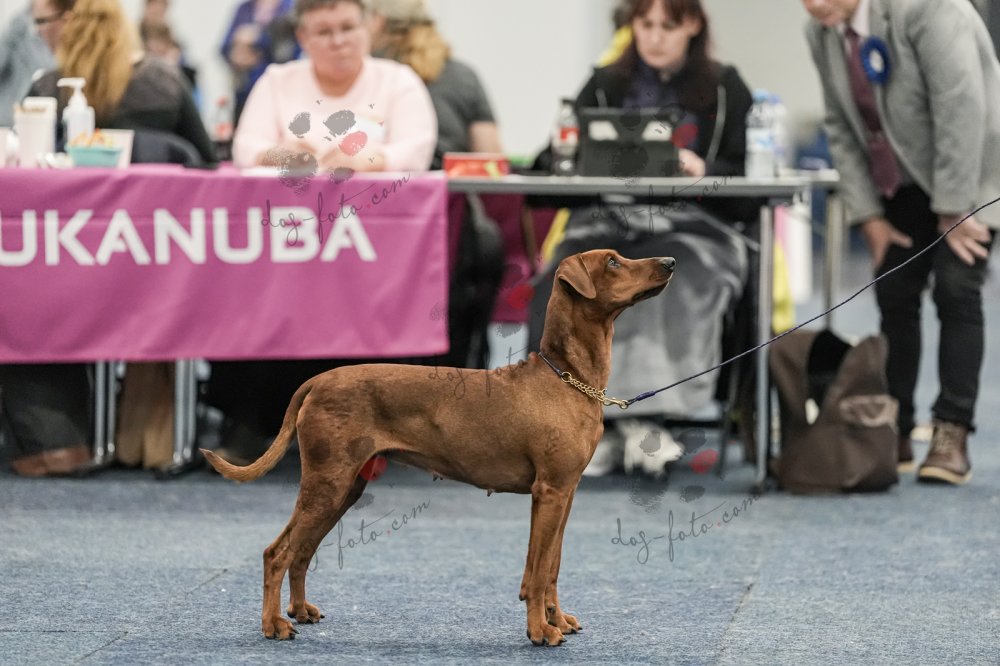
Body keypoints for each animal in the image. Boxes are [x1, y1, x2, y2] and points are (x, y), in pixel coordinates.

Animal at [202, 249, 674, 646]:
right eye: (613, 262)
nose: (669, 262)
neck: (566, 376)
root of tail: (318, 380)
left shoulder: (566, 492)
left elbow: (552, 567)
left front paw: (557, 619)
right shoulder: (550, 492)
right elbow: (538, 573)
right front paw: (541, 631)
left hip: (345, 487)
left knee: (300, 551)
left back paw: (299, 611)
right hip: (327, 483)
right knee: (277, 553)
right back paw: (274, 625)